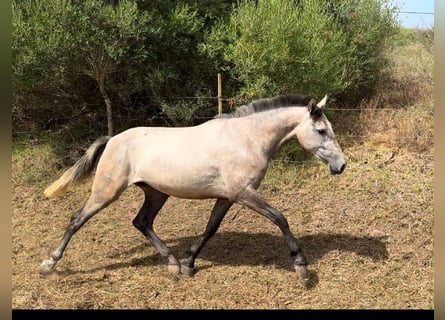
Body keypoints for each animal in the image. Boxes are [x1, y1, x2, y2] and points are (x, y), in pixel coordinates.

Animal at [40, 94, 346, 278]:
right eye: (321, 131)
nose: (341, 165)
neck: (246, 138)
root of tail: (113, 139)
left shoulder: (228, 197)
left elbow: (210, 228)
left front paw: (188, 264)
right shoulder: (243, 193)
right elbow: (280, 218)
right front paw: (301, 265)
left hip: (156, 193)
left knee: (142, 222)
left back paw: (172, 263)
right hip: (107, 191)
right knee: (77, 219)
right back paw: (49, 264)